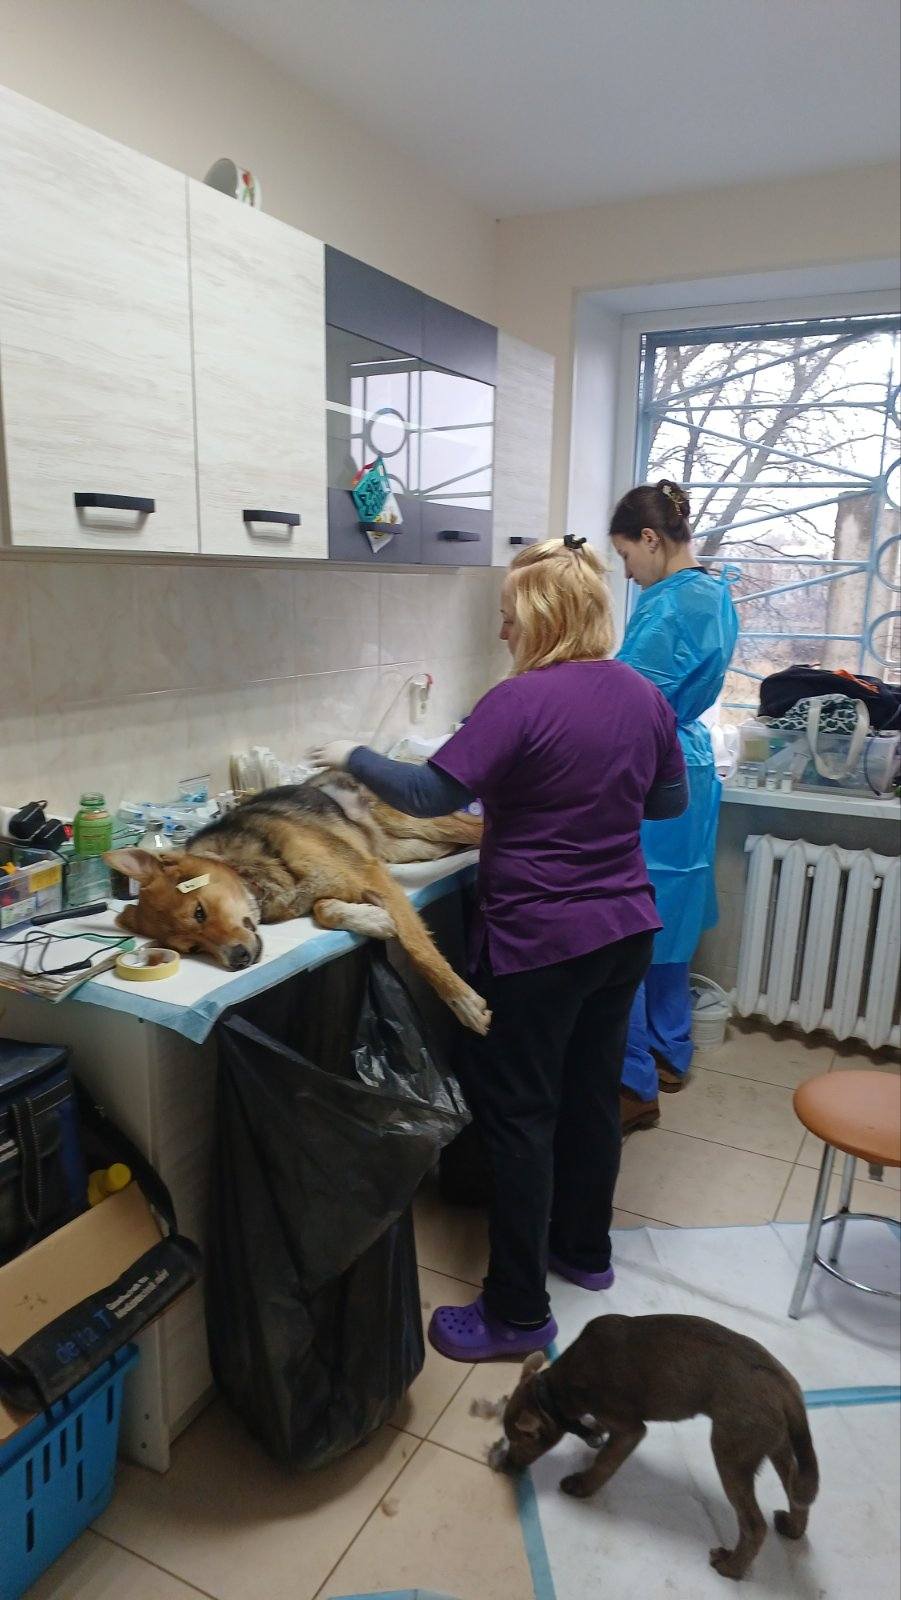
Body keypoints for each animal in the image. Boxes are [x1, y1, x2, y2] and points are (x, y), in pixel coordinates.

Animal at [105, 775, 490, 1033]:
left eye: (199, 912)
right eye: (192, 948)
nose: (239, 961)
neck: (251, 873)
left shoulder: (371, 875)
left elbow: (419, 948)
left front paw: (463, 1001)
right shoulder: (356, 880)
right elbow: (324, 909)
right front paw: (373, 919)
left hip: (419, 826)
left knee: (478, 828)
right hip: (409, 848)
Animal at [492, 1313, 818, 1581]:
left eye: (520, 1439)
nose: (505, 1464)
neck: (557, 1388)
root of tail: (788, 1391)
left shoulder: (631, 1429)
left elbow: (605, 1462)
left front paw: (582, 1485)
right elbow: (597, 1430)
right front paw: (593, 1433)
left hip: (731, 1454)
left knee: (754, 1526)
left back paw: (730, 1567)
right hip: (777, 1446)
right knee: (795, 1489)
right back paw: (792, 1527)